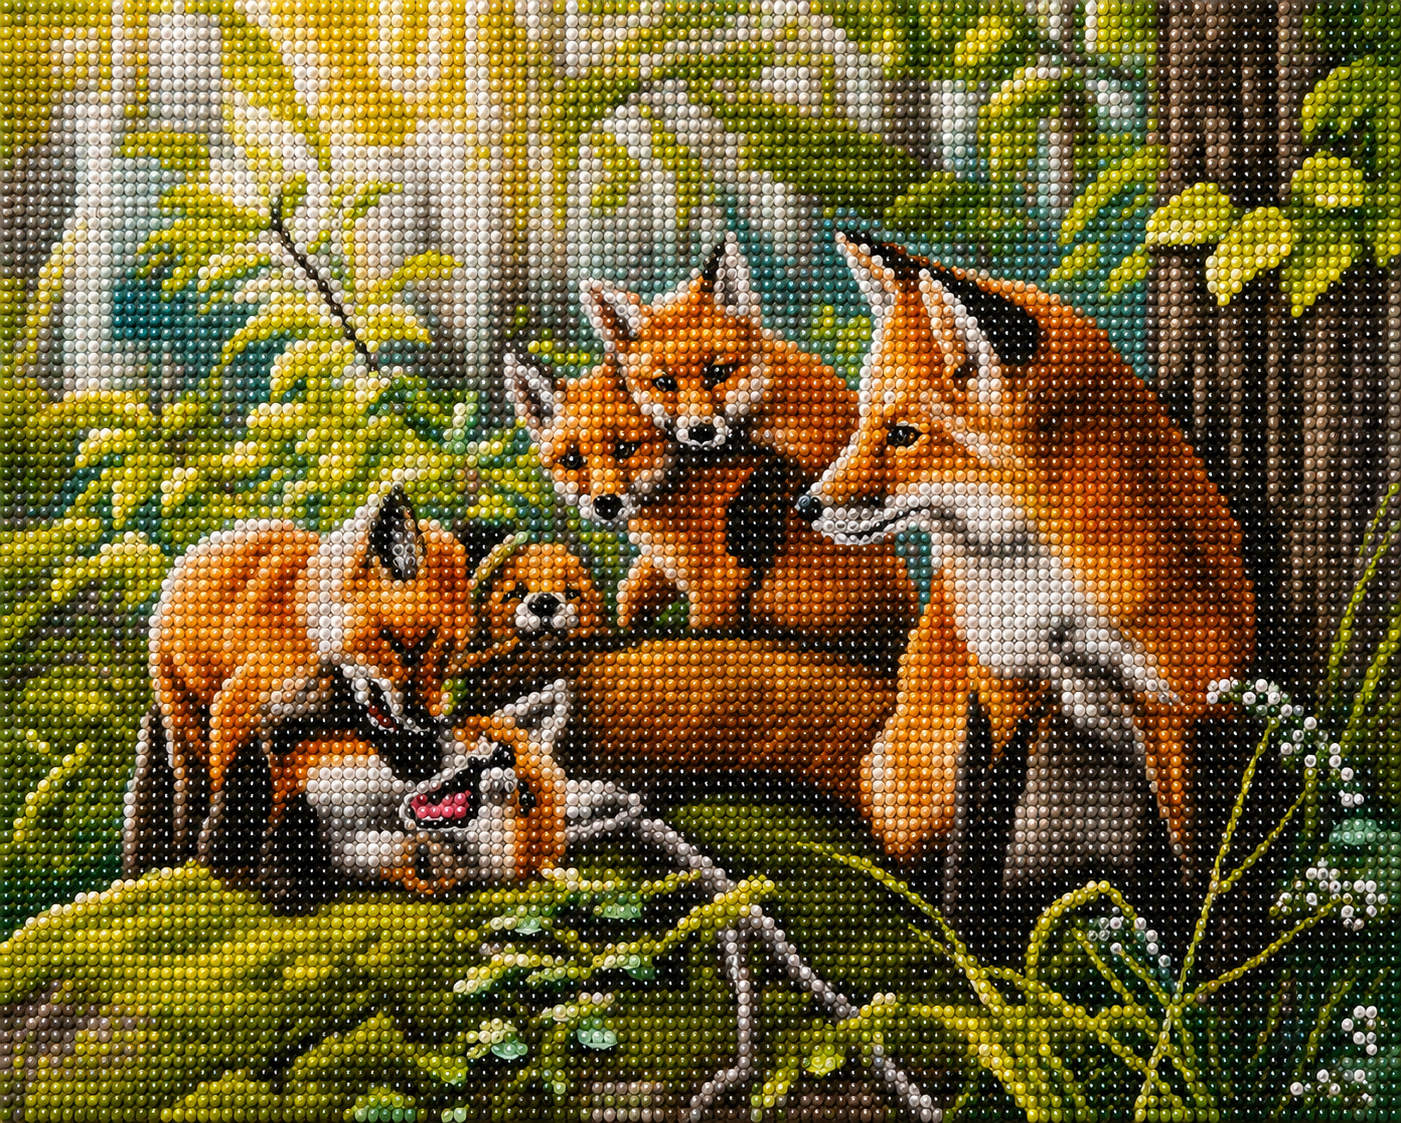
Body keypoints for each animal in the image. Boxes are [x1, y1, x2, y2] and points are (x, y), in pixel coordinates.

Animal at [124, 486, 494, 897]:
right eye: (403, 646)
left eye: (443, 659)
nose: (426, 725)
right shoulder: (236, 710)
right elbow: (230, 798)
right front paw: (221, 862)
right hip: (185, 730)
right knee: (187, 799)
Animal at [506, 353, 918, 649]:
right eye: (572, 460)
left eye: (624, 449)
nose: (605, 503)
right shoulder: (668, 566)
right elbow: (630, 599)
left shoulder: (720, 583)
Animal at [797, 233, 1256, 865]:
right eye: (865, 420)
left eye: (903, 434)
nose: (805, 506)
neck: (1054, 600)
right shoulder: (1002, 685)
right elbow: (978, 832)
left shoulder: (1180, 711)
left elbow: (1195, 858)